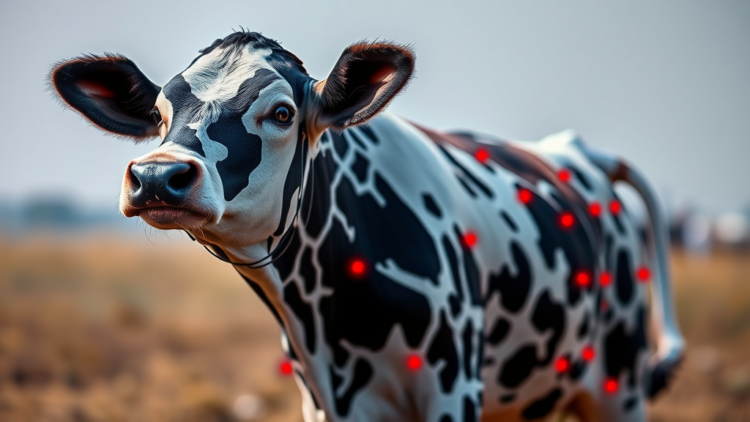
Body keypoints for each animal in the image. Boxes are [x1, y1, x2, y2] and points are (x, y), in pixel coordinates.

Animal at [50, 31, 684, 421]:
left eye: (282, 112)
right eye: (160, 115)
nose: (158, 175)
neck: (327, 319)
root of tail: (576, 150)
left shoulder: (454, 386)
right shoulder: (321, 401)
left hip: (619, 385)